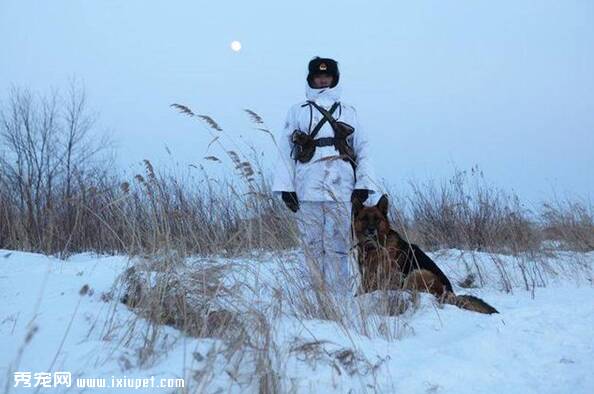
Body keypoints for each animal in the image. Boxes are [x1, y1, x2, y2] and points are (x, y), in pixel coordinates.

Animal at [352, 195, 494, 314]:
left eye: (377, 219)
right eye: (364, 219)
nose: (371, 231)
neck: (375, 247)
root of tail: (450, 294)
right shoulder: (367, 279)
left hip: (417, 273)